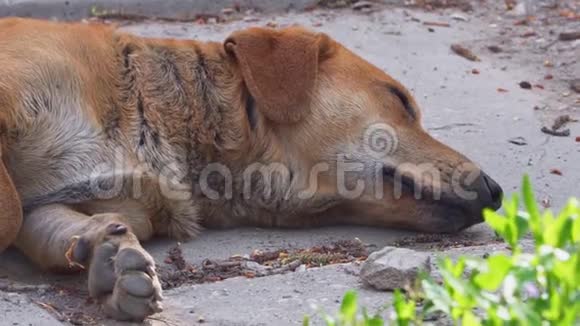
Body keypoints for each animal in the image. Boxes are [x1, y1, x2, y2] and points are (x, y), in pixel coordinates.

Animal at [0, 17, 502, 320]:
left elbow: (44, 224)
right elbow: (12, 211)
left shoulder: (89, 202)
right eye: (399, 99)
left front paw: (109, 261)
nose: (496, 191)